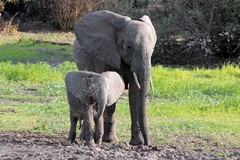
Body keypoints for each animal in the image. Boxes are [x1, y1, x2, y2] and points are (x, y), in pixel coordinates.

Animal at [72, 9, 158, 145]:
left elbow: (134, 94)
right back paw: (85, 137)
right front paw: (109, 140)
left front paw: (137, 143)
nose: (147, 144)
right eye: (129, 47)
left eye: (153, 48)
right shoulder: (103, 53)